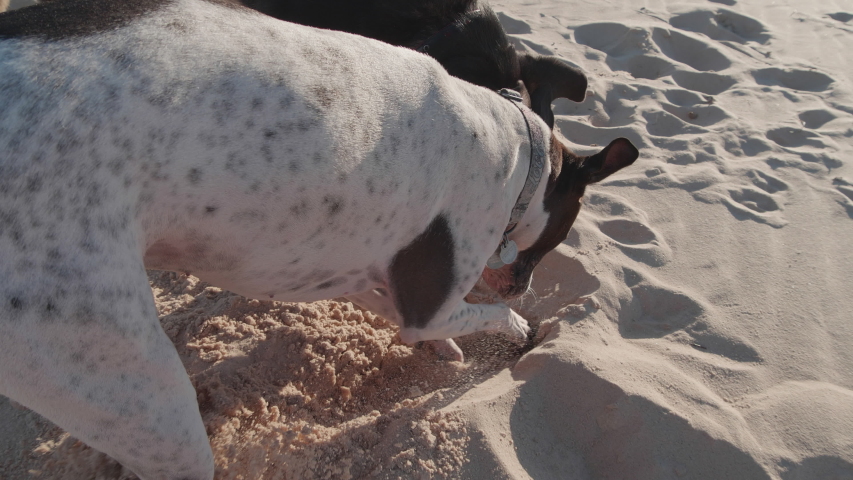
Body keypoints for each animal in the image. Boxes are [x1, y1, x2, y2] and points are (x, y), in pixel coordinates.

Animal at [0, 0, 636, 478]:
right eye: (556, 239)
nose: (522, 284)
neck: (516, 147)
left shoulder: (347, 269)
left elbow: (398, 311)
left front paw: (449, 349)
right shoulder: (430, 302)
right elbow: (480, 317)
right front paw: (515, 328)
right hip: (141, 396)